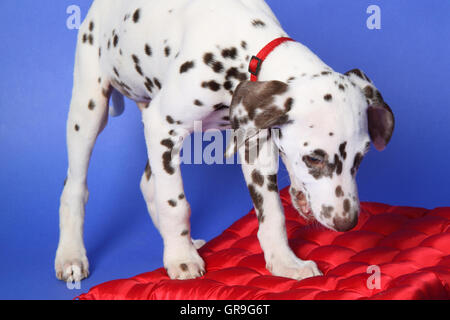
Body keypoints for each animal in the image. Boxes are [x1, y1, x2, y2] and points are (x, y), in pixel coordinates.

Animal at [55, 0, 394, 282]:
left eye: (361, 158)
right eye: (314, 158)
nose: (347, 222)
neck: (243, 48)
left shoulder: (255, 142)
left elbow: (272, 211)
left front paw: (285, 263)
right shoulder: (162, 126)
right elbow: (174, 202)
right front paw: (180, 260)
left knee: (148, 182)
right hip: (89, 109)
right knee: (75, 187)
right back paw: (72, 255)